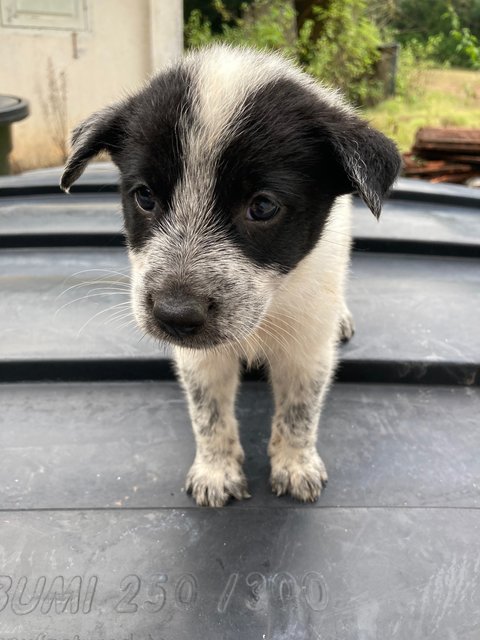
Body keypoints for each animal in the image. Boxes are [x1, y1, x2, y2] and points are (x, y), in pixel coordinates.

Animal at [61, 45, 402, 504]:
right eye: (145, 197)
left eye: (263, 206)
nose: (174, 315)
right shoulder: (199, 359)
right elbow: (208, 413)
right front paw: (216, 470)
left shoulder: (308, 345)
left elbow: (300, 410)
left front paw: (296, 464)